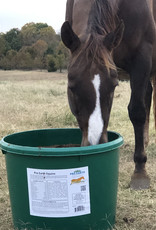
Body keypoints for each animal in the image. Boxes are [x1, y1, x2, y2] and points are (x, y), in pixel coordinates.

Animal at [60, 0, 156, 190]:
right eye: (71, 87)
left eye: (114, 86)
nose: (95, 143)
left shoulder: (142, 59)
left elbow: (137, 112)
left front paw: (140, 171)